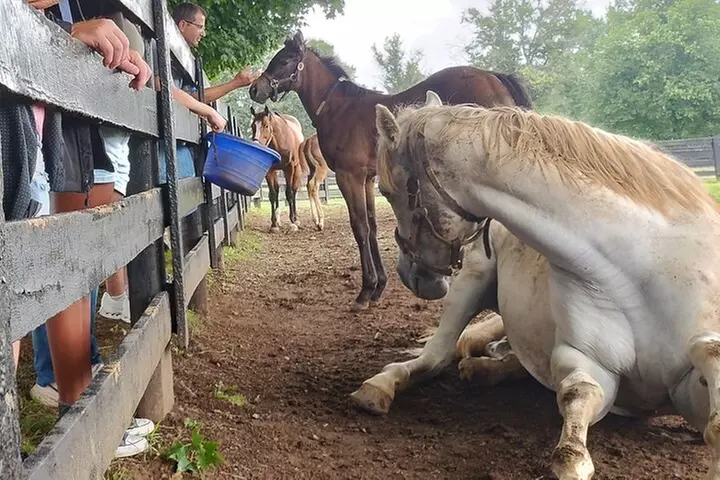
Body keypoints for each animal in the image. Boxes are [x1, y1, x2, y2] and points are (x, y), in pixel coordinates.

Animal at [249, 30, 532, 312]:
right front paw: (379, 287)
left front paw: (365, 292)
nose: (254, 88)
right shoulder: (367, 179)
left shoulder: (348, 177)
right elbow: (372, 226)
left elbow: (360, 228)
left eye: (284, 60)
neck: (340, 109)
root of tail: (495, 78)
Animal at [369, 90, 720, 479]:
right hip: (472, 281)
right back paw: (383, 385)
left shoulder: (688, 389)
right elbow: (575, 416)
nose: (408, 274)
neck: (642, 266)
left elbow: (710, 386)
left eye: (386, 190)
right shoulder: (589, 364)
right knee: (438, 354)